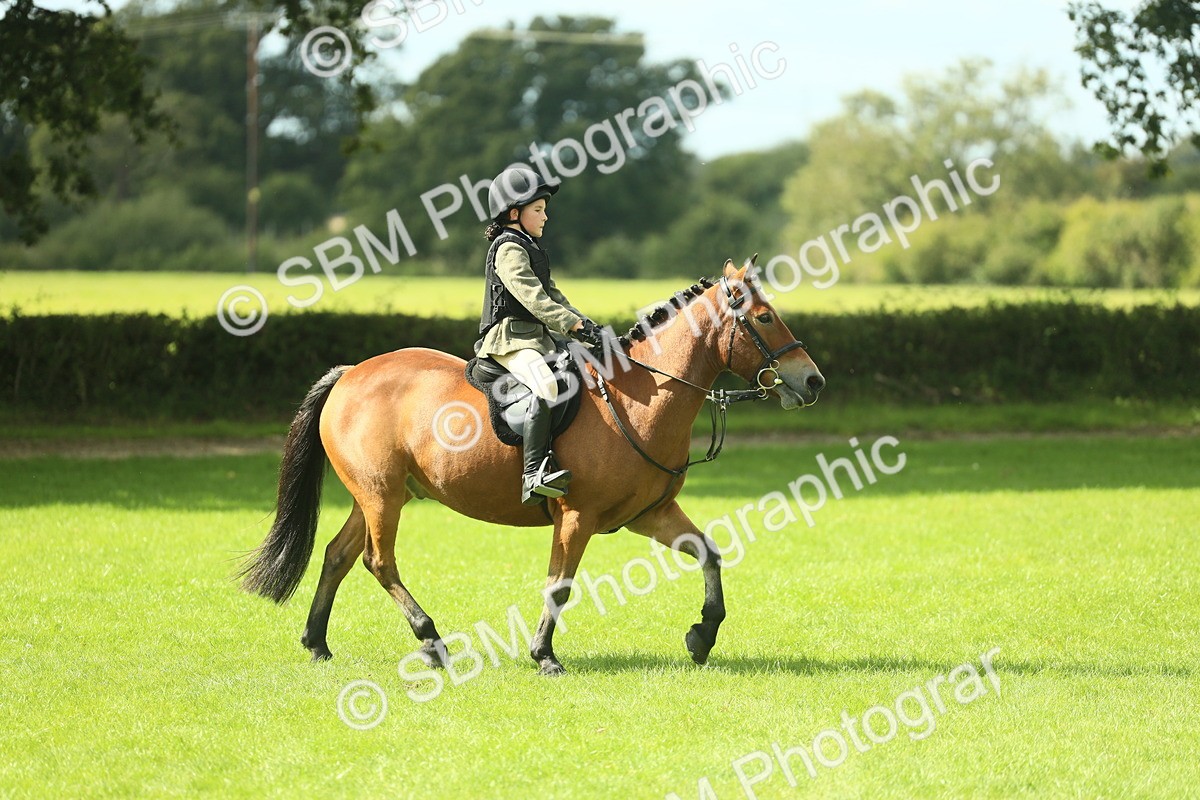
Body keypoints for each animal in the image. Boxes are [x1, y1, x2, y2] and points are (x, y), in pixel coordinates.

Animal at [239, 259, 825, 675]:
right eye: (765, 317)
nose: (813, 380)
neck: (639, 394)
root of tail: (351, 373)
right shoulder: (577, 517)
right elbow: (559, 585)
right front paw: (544, 655)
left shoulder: (648, 515)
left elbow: (709, 553)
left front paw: (703, 636)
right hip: (381, 496)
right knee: (377, 562)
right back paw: (432, 642)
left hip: (382, 494)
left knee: (338, 556)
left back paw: (317, 644)